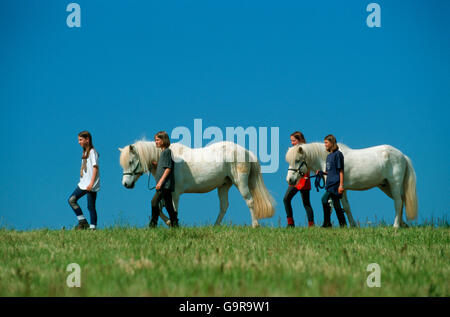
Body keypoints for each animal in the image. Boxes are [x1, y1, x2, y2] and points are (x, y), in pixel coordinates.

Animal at [118, 139, 274, 226]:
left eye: (130, 161)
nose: (126, 184)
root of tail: (246, 151)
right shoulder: (165, 192)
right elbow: (161, 208)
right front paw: (169, 222)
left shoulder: (175, 193)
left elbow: (172, 209)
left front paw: (173, 223)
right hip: (224, 186)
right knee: (224, 206)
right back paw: (215, 226)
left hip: (240, 183)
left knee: (250, 201)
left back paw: (255, 225)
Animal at [286, 141, 416, 227]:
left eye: (297, 160)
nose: (289, 180)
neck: (326, 158)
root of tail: (402, 155)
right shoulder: (341, 190)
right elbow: (343, 206)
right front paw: (351, 225)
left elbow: (340, 207)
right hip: (386, 186)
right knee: (401, 201)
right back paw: (402, 224)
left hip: (394, 184)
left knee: (398, 203)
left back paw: (396, 226)